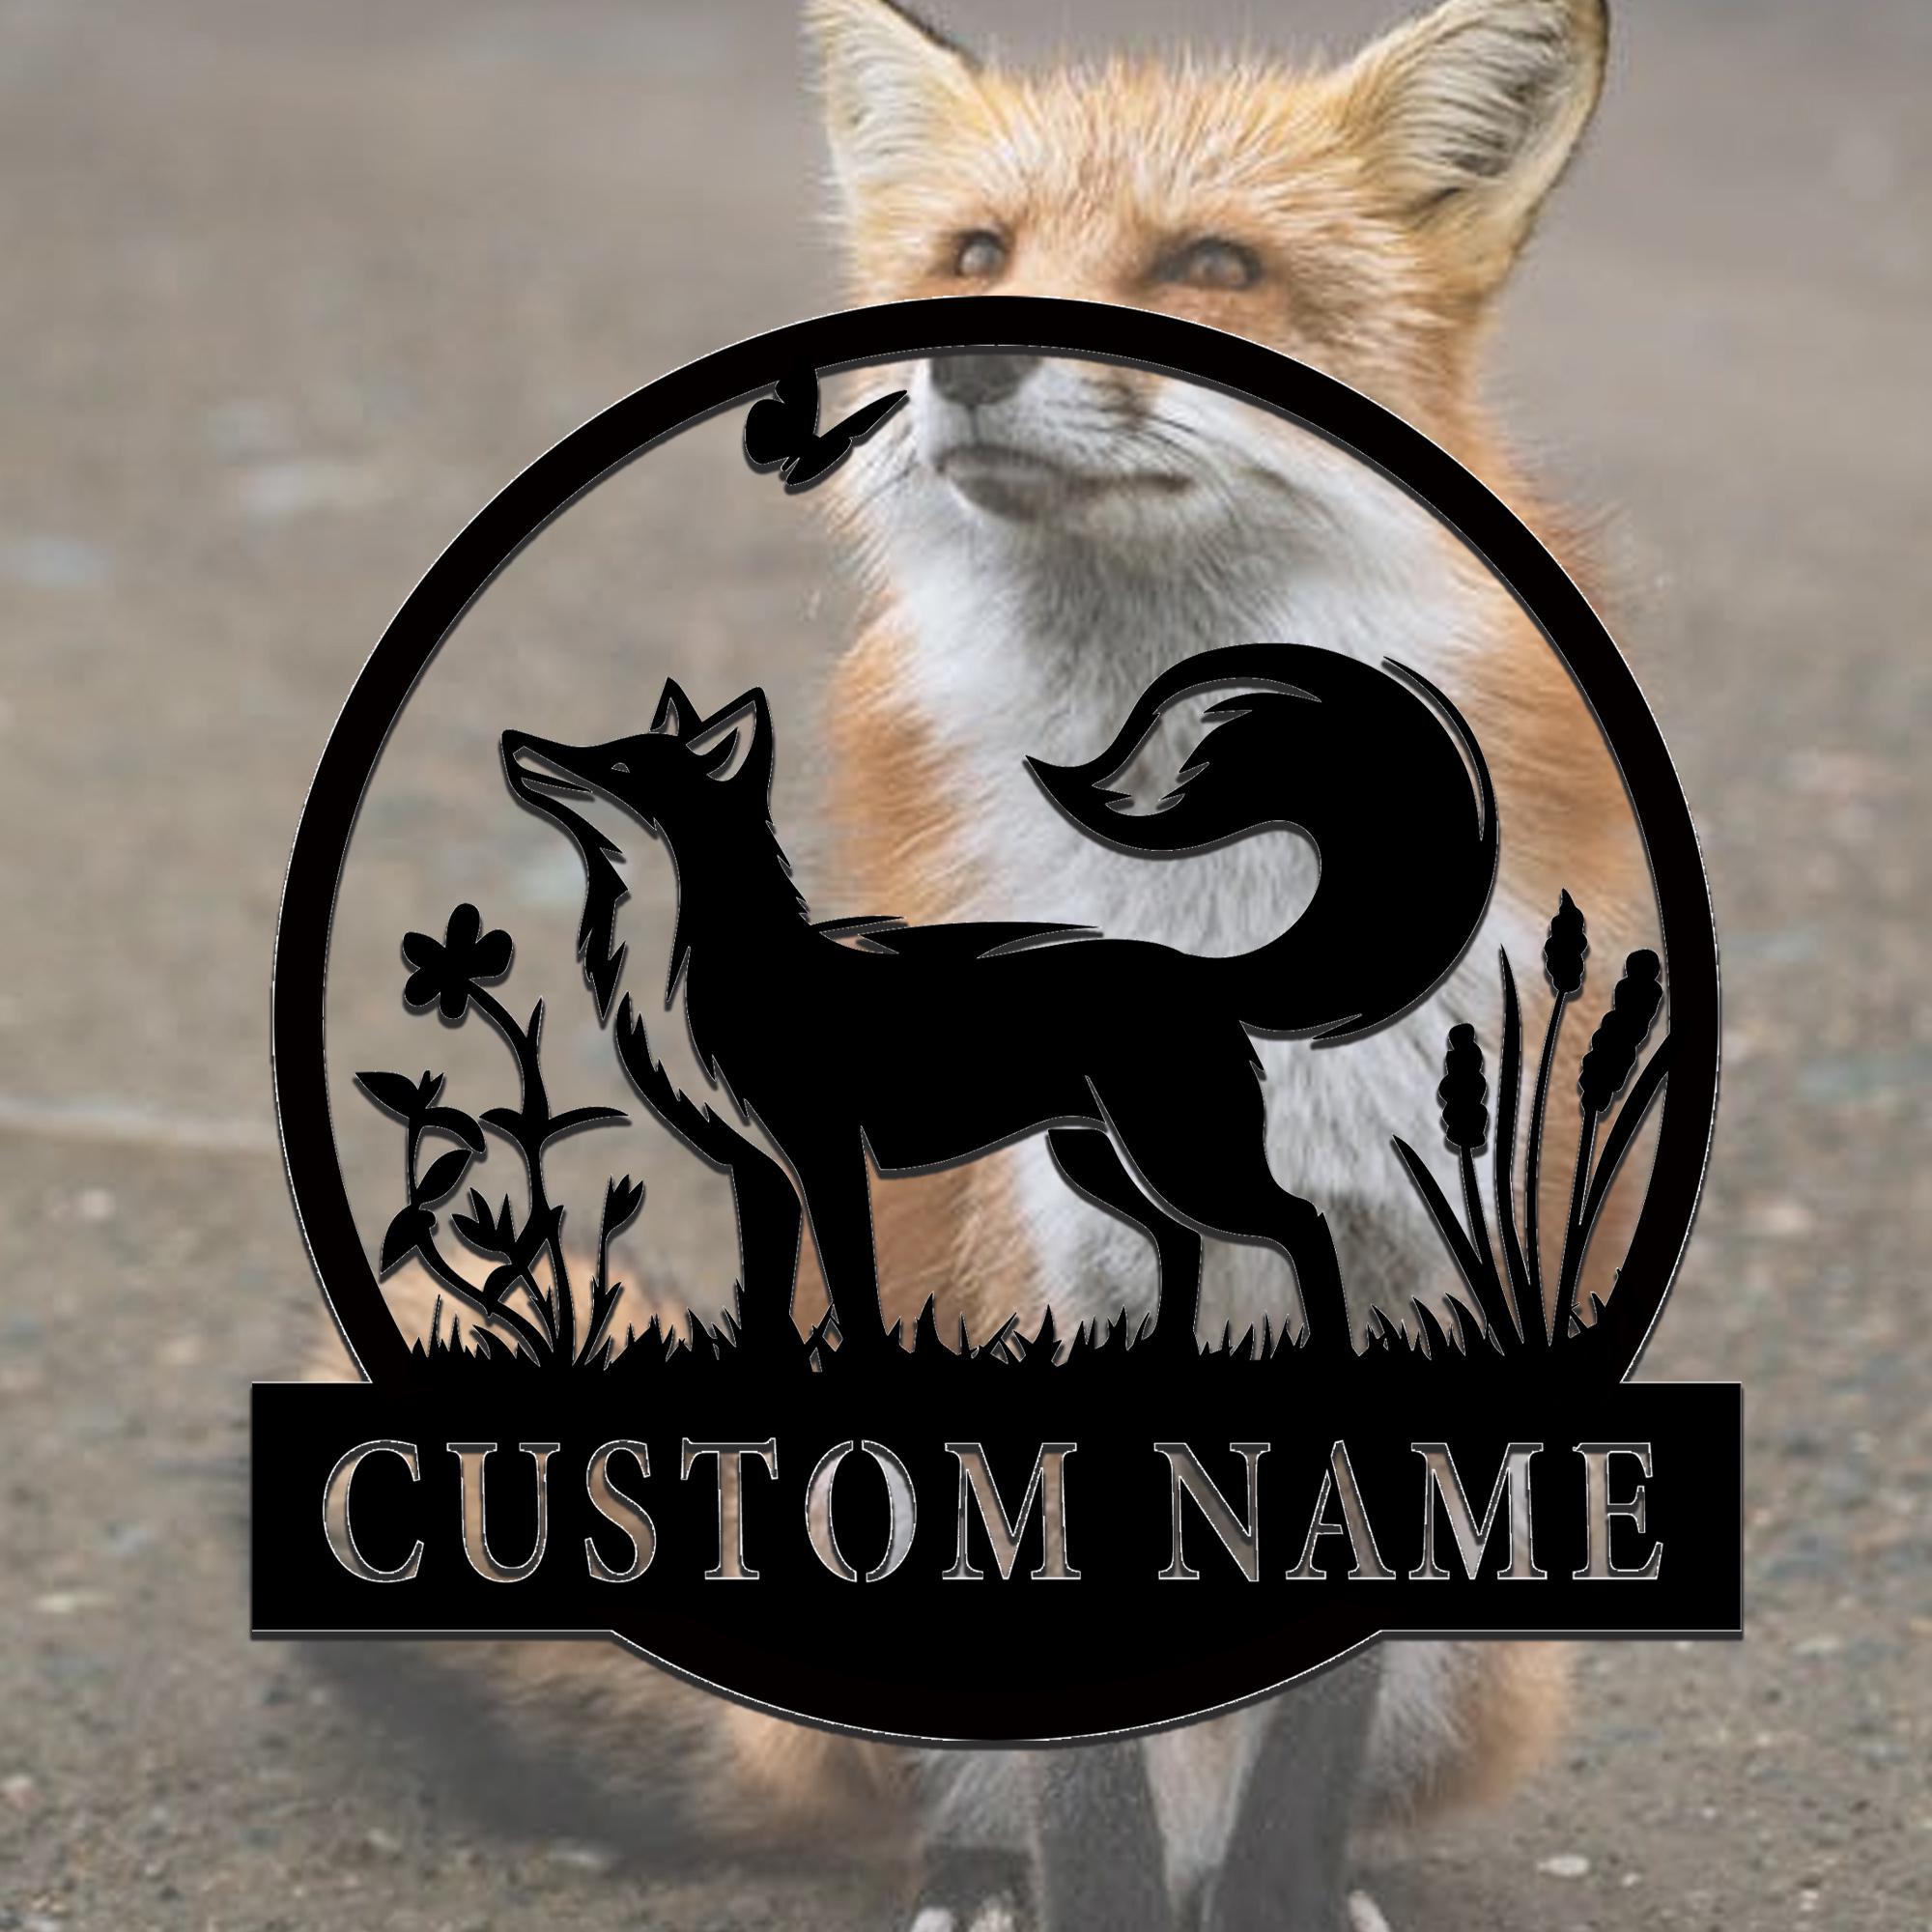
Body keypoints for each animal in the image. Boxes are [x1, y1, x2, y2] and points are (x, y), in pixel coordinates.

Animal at [306, 1, 1654, 1928]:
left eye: (1211, 267)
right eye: (975, 255)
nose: (974, 357)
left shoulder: (1417, 1306)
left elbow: (1302, 1777)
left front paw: (1284, 1901)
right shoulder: (1029, 1287)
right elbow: (1083, 1806)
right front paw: (1081, 1896)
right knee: (961, 1795)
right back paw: (978, 1877)